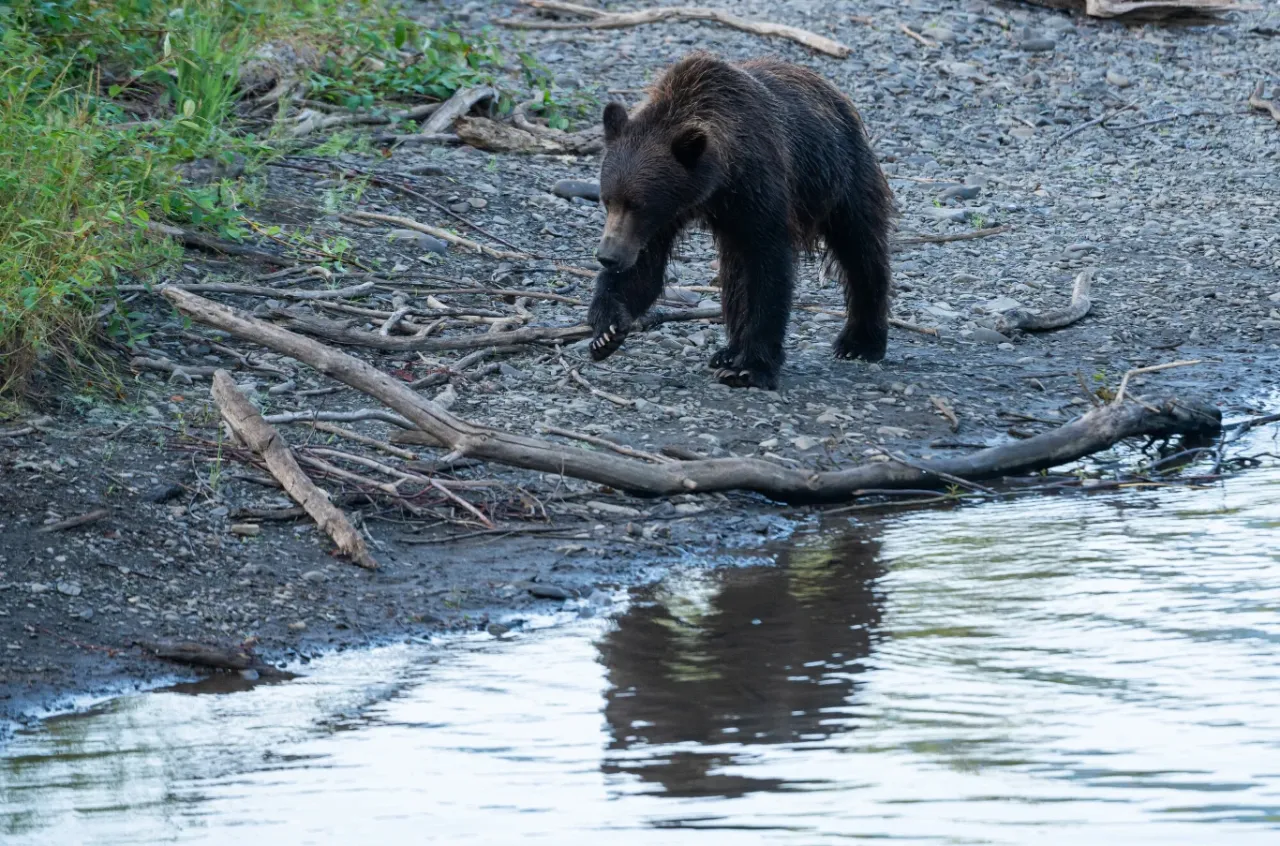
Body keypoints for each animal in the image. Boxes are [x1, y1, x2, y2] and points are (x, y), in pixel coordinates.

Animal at [586, 52, 895, 390]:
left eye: (638, 205)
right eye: (607, 199)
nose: (607, 256)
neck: (719, 181)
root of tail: (834, 92)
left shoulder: (760, 189)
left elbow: (768, 268)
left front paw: (751, 367)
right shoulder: (667, 219)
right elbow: (644, 270)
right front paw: (606, 331)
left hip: (841, 176)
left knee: (861, 250)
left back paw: (861, 340)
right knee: (734, 275)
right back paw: (728, 351)